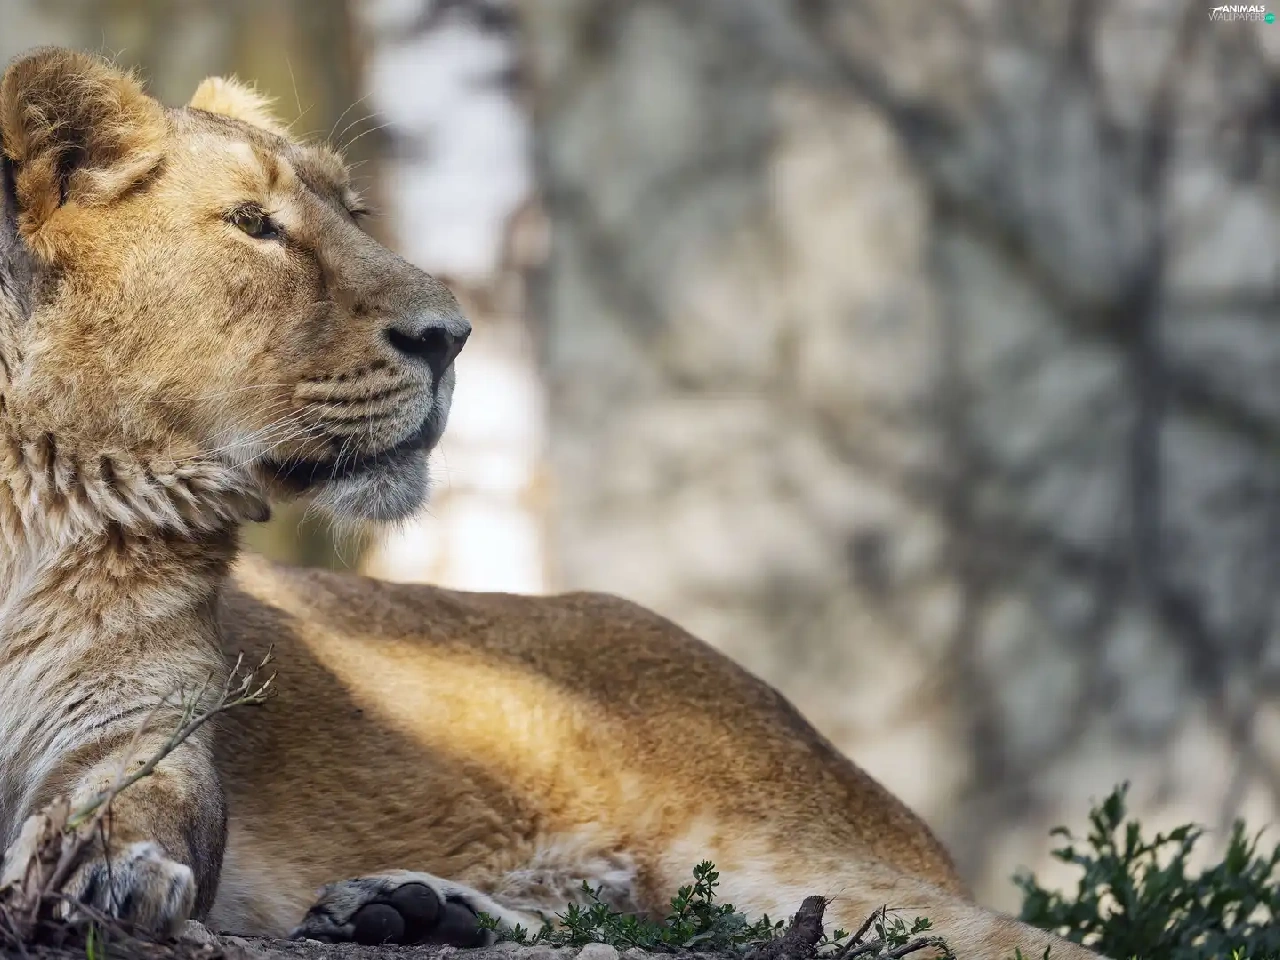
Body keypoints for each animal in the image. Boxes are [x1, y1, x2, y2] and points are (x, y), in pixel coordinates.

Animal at [0, 48, 1103, 960]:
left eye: (355, 214)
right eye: (254, 225)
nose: (450, 336)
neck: (42, 491)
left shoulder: (144, 721)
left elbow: (130, 803)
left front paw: (107, 873)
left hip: (777, 854)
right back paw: (409, 910)